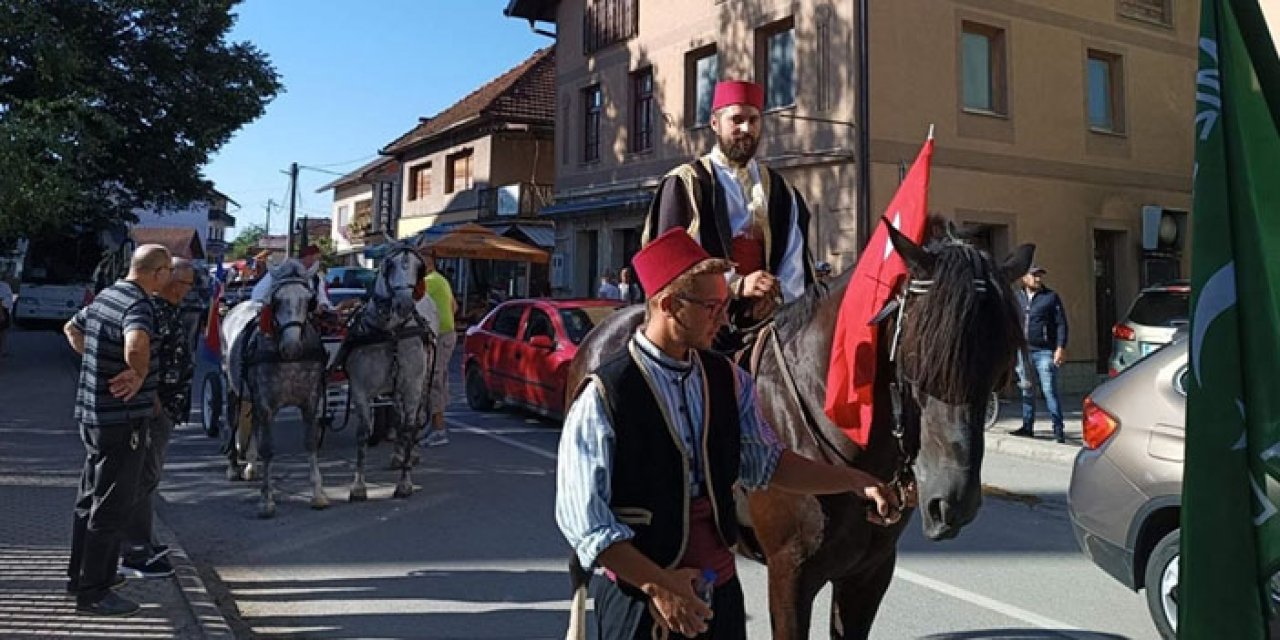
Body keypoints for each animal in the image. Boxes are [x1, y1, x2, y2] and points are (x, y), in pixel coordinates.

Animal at [222, 257, 327, 517]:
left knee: (254, 424)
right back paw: (233, 467)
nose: (292, 347)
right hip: (231, 386)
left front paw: (318, 494)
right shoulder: (266, 403)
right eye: (276, 300)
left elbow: (310, 443)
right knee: (233, 420)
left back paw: (250, 465)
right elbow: (268, 449)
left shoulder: (310, 402)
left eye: (308, 300)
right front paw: (266, 499)